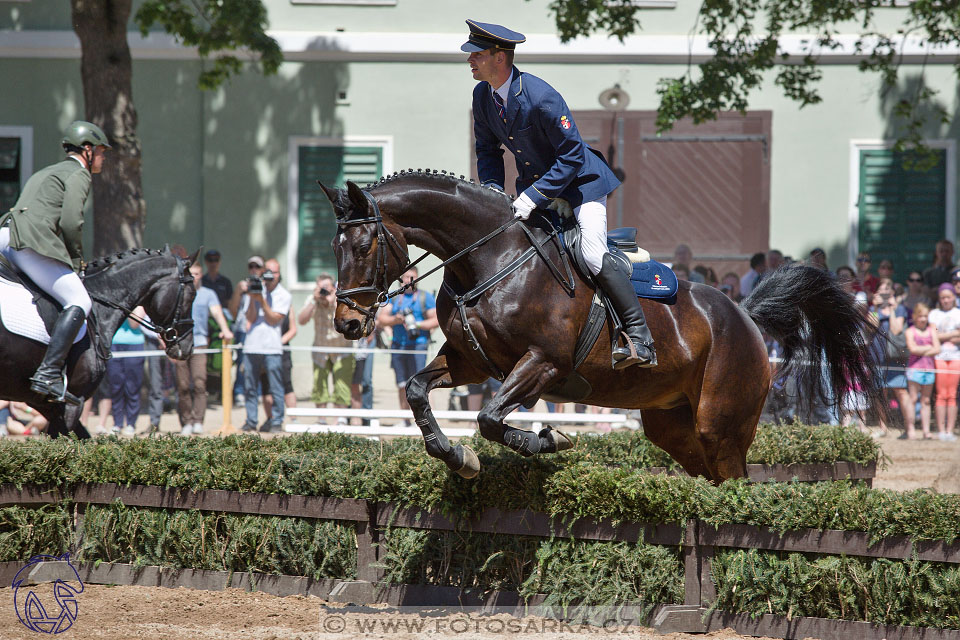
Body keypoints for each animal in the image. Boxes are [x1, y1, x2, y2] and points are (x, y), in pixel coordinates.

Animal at [320, 172, 876, 482]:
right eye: (334, 246)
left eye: (364, 246)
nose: (347, 322)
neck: (488, 260)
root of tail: (746, 316)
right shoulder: (471, 363)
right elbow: (418, 391)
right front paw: (458, 457)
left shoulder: (542, 363)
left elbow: (491, 419)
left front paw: (551, 439)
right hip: (673, 424)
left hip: (721, 425)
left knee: (736, 478)